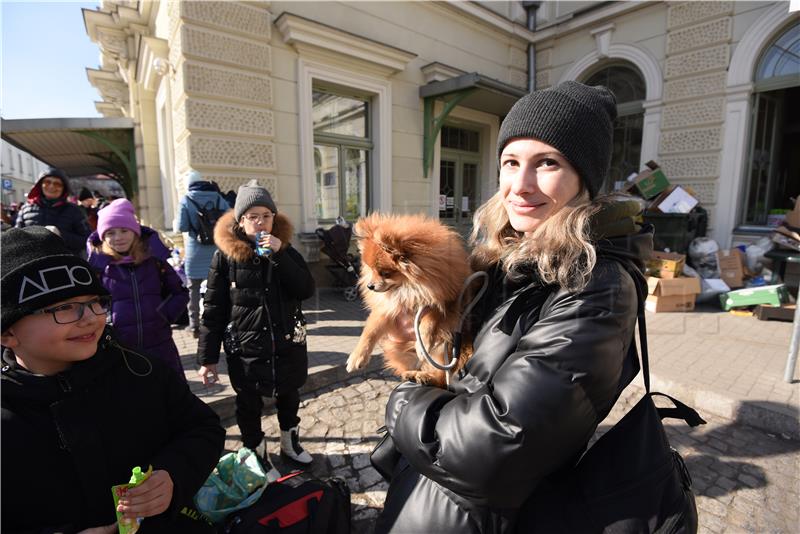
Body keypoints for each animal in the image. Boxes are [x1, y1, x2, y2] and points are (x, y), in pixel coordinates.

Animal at [346, 214, 472, 390]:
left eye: (385, 273)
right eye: (371, 269)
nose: (370, 286)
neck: (410, 288)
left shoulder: (445, 303)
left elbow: (430, 320)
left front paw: (423, 344)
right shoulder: (387, 309)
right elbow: (370, 332)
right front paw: (357, 357)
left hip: (443, 349)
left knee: (441, 378)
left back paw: (424, 377)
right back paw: (414, 374)